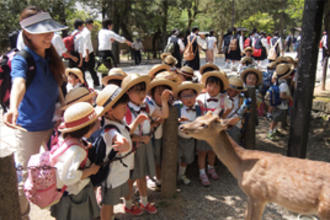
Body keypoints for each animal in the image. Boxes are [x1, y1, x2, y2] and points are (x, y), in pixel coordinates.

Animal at [179, 112, 330, 219]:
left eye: (204, 124)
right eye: (198, 117)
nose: (182, 126)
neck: (241, 167)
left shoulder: (258, 193)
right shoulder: (251, 195)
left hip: (325, 208)